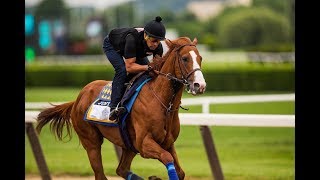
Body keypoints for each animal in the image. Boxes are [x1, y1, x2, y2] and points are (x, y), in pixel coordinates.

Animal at [36, 36, 208, 179]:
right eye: (185, 58)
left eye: (200, 58)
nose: (200, 85)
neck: (162, 103)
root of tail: (77, 99)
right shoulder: (144, 144)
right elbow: (167, 157)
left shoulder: (167, 143)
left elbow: (180, 171)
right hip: (91, 142)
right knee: (100, 173)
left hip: (128, 145)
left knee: (121, 169)